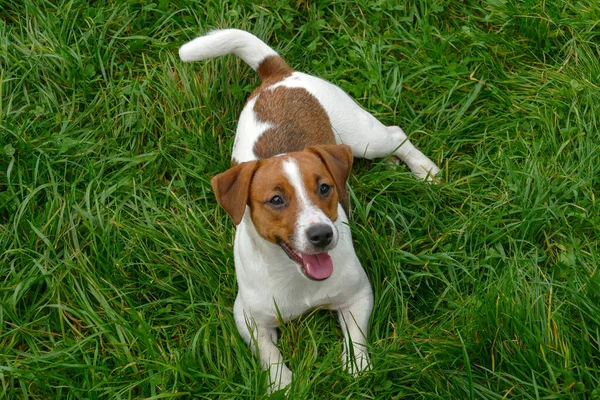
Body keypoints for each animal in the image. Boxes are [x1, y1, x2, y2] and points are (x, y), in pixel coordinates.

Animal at [178, 28, 440, 390]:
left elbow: (356, 336)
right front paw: (280, 382)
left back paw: (424, 170)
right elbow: (267, 351)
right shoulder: (247, 317)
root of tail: (278, 75)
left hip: (363, 137)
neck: (296, 277)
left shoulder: (358, 294)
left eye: (324, 188)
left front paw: (357, 367)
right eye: (276, 200)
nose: (322, 235)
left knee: (395, 135)